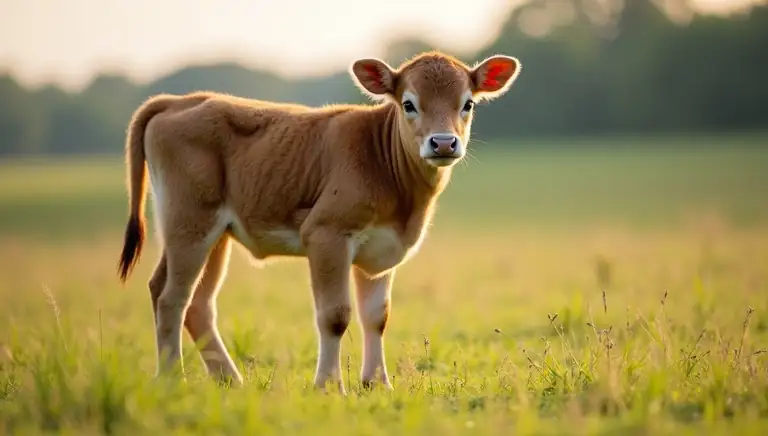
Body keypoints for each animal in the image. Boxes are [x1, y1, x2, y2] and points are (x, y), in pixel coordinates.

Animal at [116, 50, 521, 394]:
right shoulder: (327, 235)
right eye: (409, 103)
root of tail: (181, 100)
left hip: (215, 234)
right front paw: (329, 386)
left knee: (191, 301)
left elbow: (376, 317)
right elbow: (335, 316)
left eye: (467, 104)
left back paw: (230, 380)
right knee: (173, 297)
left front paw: (378, 384)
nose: (443, 143)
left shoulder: (382, 247)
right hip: (189, 222)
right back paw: (173, 379)